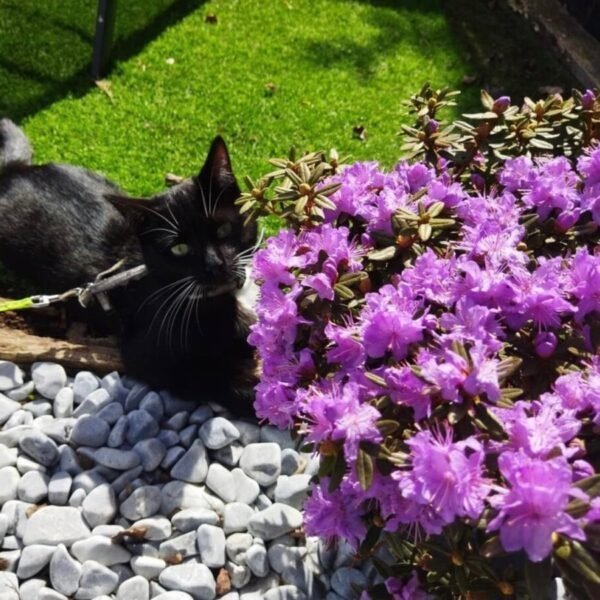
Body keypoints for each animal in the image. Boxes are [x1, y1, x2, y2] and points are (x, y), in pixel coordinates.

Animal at [0, 119, 258, 414]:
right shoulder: (146, 356)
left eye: (224, 229)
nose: (216, 264)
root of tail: (14, 171)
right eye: (179, 249)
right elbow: (219, 382)